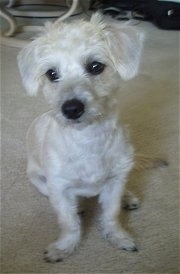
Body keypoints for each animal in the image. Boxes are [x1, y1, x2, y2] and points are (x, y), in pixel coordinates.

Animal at [17, 13, 143, 262]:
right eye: (51, 74)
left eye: (95, 66)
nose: (71, 109)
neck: (88, 138)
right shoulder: (59, 187)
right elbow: (68, 221)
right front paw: (65, 246)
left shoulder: (115, 181)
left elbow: (111, 214)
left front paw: (118, 236)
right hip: (39, 180)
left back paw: (127, 197)